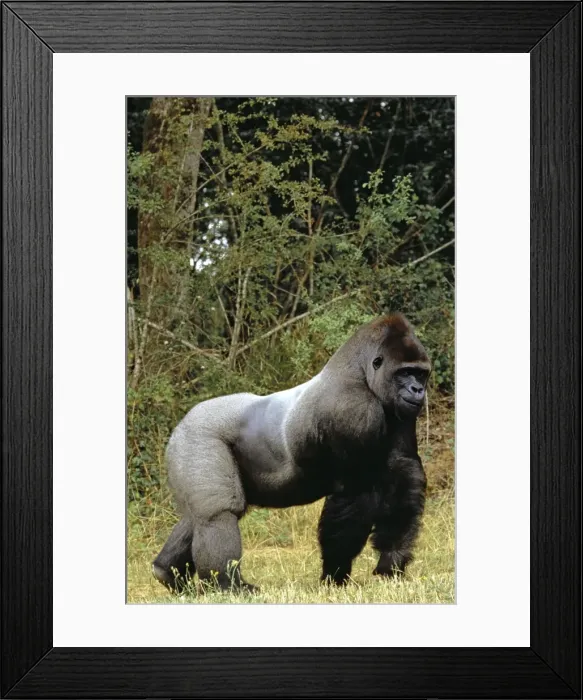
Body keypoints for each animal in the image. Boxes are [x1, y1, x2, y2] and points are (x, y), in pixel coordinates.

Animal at [152, 312, 430, 592]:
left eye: (420, 374)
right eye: (405, 373)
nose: (418, 390)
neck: (361, 373)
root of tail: (181, 424)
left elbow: (403, 471)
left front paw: (391, 560)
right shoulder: (354, 410)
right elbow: (356, 494)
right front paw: (335, 574)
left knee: (197, 516)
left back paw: (166, 571)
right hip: (199, 437)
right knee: (218, 513)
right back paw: (227, 584)